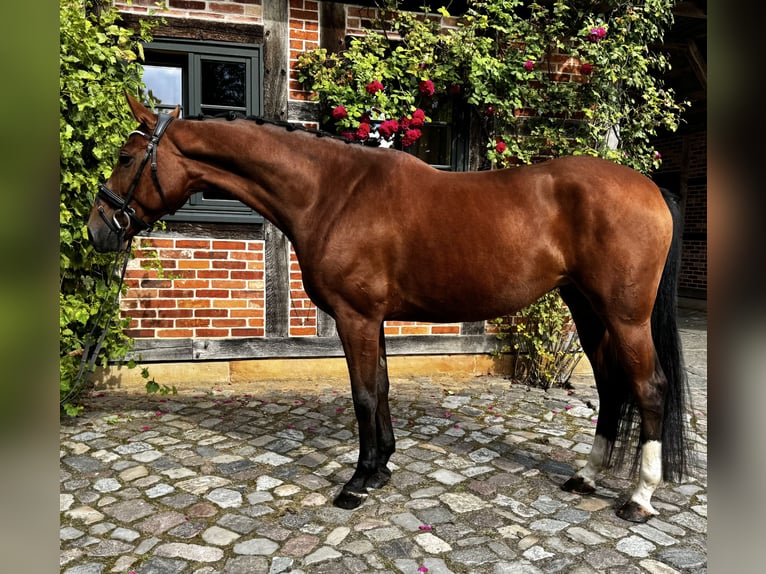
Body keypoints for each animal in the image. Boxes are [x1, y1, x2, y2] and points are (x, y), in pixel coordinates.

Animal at [87, 94, 691, 523]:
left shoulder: (355, 316)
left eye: (124, 157)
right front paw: (380, 470)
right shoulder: (372, 318)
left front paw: (356, 483)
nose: (97, 230)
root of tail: (653, 191)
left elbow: (362, 395)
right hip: (587, 310)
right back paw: (586, 476)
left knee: (649, 389)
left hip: (625, 318)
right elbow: (379, 389)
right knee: (612, 388)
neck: (333, 191)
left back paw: (639, 498)